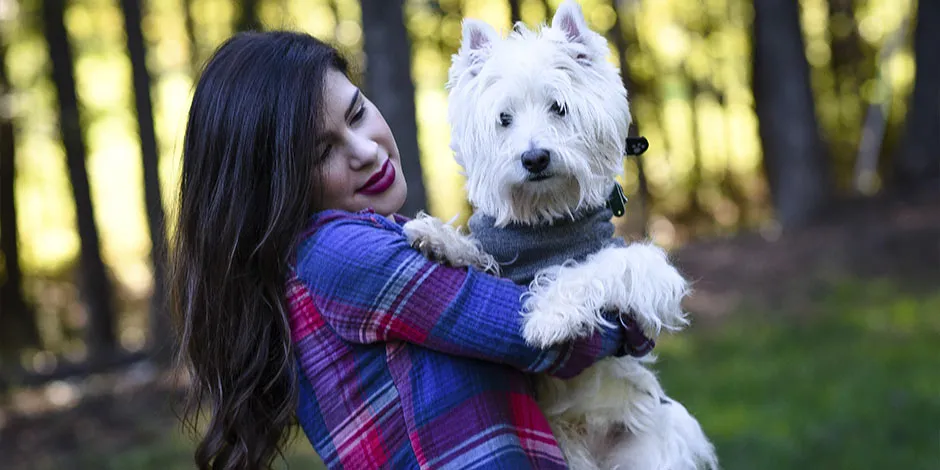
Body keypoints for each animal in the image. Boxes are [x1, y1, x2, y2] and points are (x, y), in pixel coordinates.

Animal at [400, 1, 716, 468]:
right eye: (504, 119)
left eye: (559, 108)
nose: (534, 158)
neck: (545, 218)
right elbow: (483, 253)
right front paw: (437, 237)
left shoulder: (648, 272)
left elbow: (593, 269)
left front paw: (548, 319)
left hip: (647, 449)